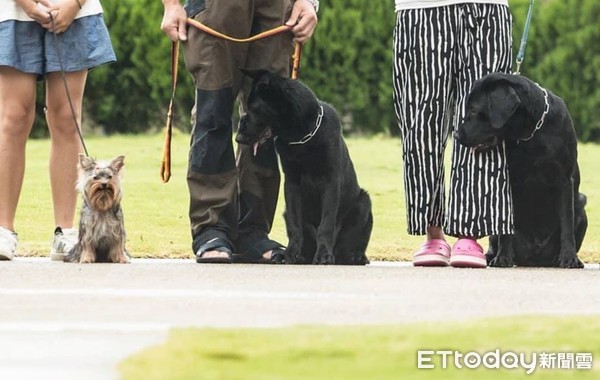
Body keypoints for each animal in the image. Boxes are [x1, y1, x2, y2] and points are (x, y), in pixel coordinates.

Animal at [234, 69, 370, 264]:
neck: (302, 135)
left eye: (253, 108)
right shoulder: (292, 184)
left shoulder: (330, 182)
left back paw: (352, 256)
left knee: (348, 244)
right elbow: (295, 225)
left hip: (364, 203)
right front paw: (291, 253)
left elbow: (326, 224)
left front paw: (323, 255)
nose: (238, 138)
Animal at [454, 72, 584, 268]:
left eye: (474, 110)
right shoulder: (510, 182)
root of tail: (535, 257)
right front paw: (503, 258)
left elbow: (566, 224)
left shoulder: (564, 181)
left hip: (582, 206)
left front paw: (569, 258)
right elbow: (507, 229)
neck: (532, 134)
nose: (456, 135)